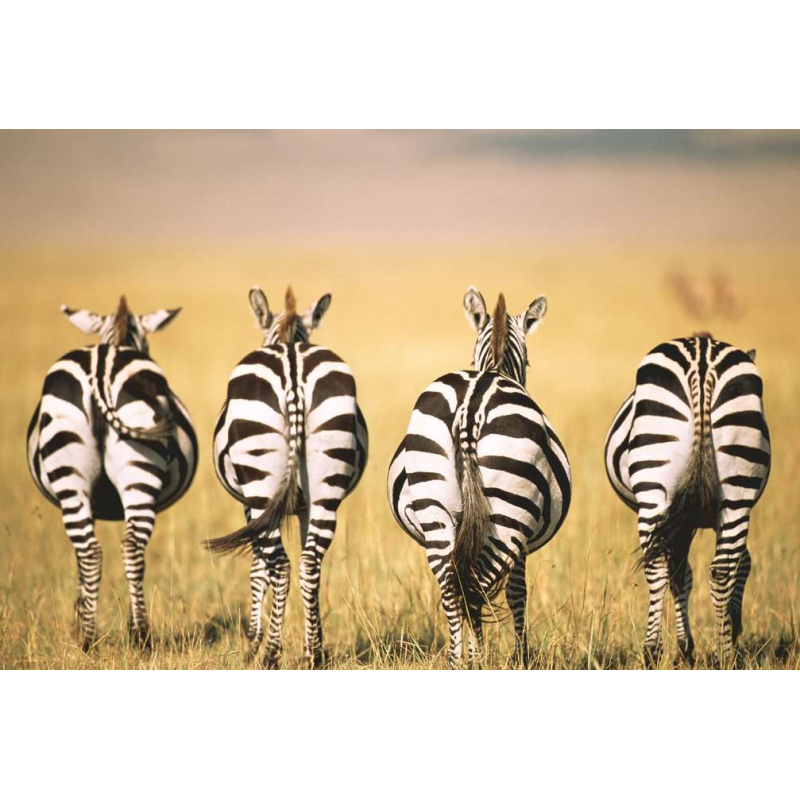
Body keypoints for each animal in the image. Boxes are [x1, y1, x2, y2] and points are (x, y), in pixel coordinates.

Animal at [27, 297, 198, 650]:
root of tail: (102, 365)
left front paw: (82, 616)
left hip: (94, 474)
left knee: (110, 550)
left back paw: (115, 637)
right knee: (113, 550)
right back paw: (109, 636)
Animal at [207, 286, 368, 669]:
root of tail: (292, 366)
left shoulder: (249, 508)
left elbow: (257, 568)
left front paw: (252, 643)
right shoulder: (306, 506)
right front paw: (313, 642)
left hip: (260, 484)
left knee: (279, 566)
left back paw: (270, 654)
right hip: (326, 486)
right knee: (310, 563)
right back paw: (315, 655)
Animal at [387, 287, 572, 667]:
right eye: (529, 364)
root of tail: (471, 403)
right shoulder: (521, 546)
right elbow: (517, 593)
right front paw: (521, 655)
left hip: (435, 512)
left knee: (452, 589)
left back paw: (458, 659)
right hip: (508, 518)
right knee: (474, 588)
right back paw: (477, 657)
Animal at [604, 334, 770, 667]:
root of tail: (702, 359)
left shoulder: (683, 519)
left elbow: (682, 573)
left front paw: (688, 646)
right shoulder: (690, 518)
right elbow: (728, 565)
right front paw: (699, 642)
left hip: (658, 489)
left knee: (665, 565)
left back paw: (655, 650)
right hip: (732, 492)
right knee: (719, 568)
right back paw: (720, 655)